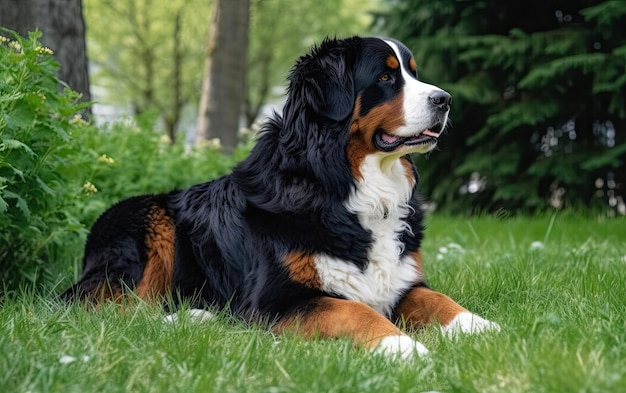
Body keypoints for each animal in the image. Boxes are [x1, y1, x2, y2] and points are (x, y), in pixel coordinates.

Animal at [63, 36, 500, 358]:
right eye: (386, 77)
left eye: (413, 72)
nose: (445, 99)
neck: (345, 185)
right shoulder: (275, 300)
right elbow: (351, 309)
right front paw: (402, 345)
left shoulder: (401, 281)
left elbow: (438, 299)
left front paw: (481, 327)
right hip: (145, 220)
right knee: (110, 310)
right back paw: (193, 317)